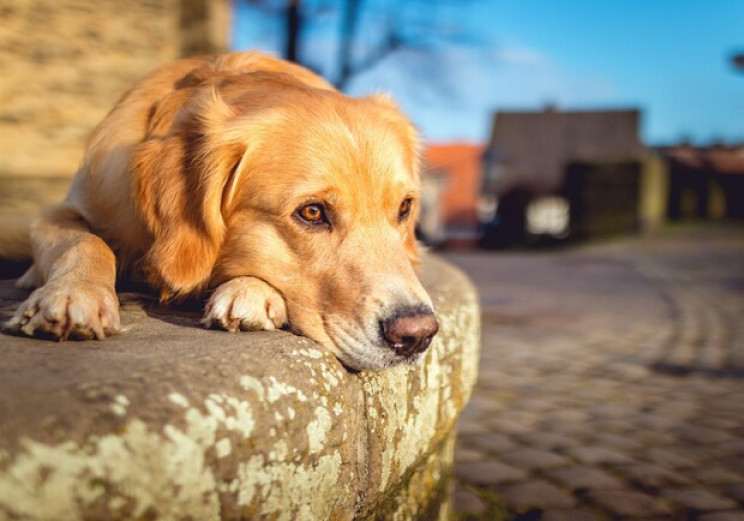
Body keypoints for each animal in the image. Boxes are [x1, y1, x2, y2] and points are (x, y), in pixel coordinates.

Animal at [2, 51, 438, 370]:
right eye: (312, 212)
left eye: (404, 208)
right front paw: (73, 293)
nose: (418, 334)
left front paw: (249, 291)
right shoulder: (66, 209)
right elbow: (85, 242)